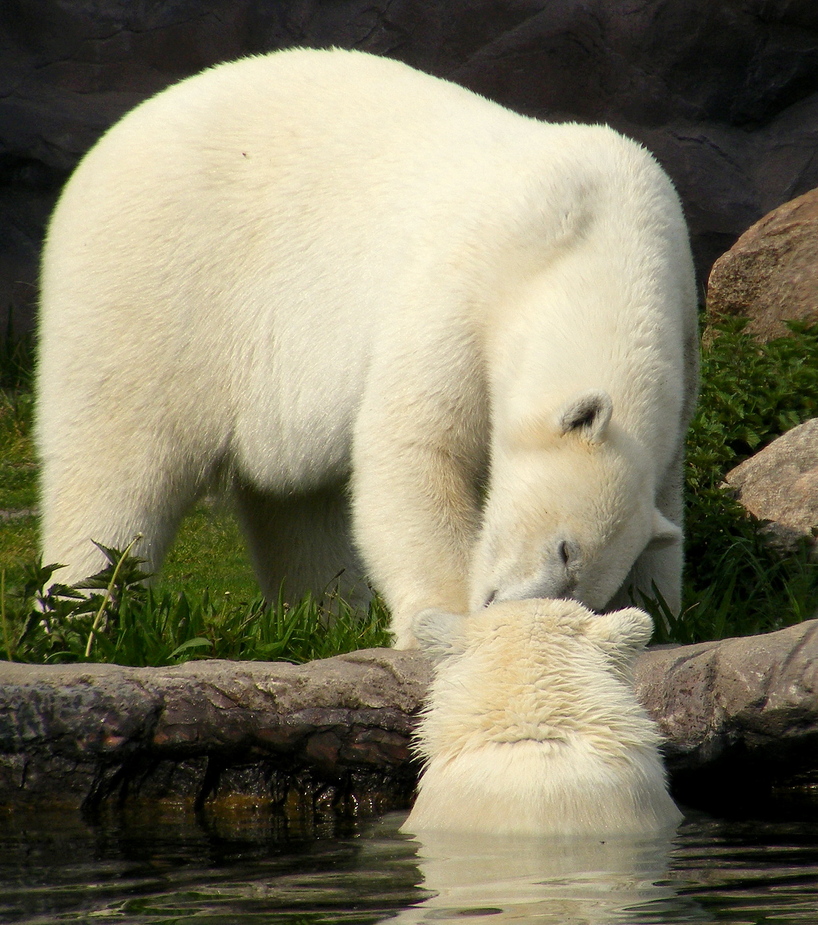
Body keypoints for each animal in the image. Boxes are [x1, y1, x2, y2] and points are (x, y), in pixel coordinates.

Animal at [35, 47, 692, 648]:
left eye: (587, 584)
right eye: (563, 548)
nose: (512, 605)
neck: (597, 240)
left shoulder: (682, 335)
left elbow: (665, 512)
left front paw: (653, 615)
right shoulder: (466, 278)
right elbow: (415, 449)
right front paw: (441, 622)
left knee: (296, 499)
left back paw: (326, 618)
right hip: (156, 285)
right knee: (117, 465)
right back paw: (75, 623)